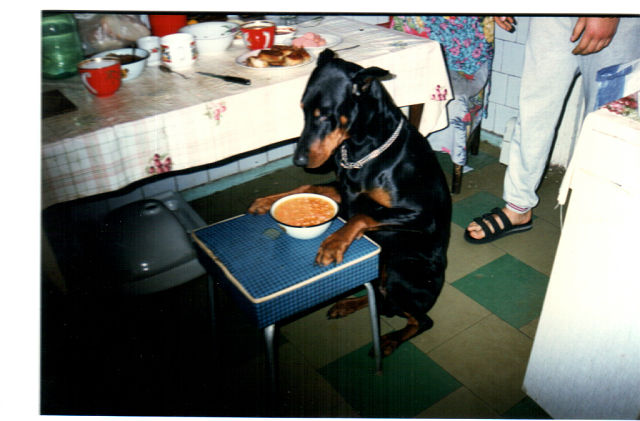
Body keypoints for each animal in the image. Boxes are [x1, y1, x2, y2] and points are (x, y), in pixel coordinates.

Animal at [248, 49, 452, 357]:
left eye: (325, 115)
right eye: (302, 110)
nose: (298, 160)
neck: (362, 149)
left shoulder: (421, 215)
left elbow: (364, 215)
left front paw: (332, 244)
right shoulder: (345, 191)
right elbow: (308, 187)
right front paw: (266, 202)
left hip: (397, 269)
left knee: (420, 319)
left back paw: (390, 340)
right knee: (381, 300)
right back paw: (348, 303)